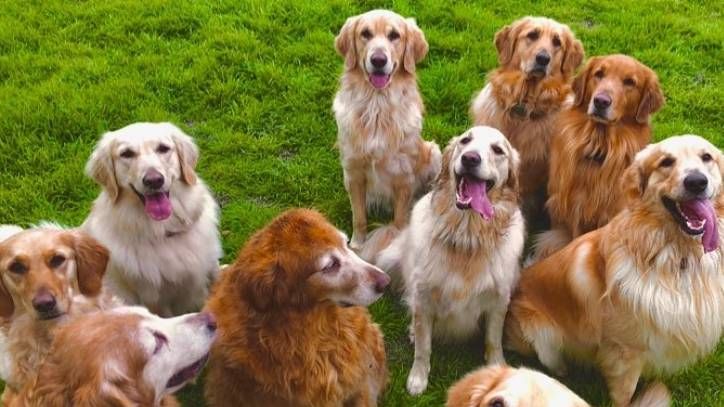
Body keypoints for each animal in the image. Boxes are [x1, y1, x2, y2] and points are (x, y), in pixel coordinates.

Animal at [80, 122, 219, 318]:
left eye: (163, 148)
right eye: (127, 154)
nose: (154, 180)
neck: (164, 232)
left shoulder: (210, 268)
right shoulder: (155, 299)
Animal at [334, 8, 442, 252]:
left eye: (394, 35)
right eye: (365, 34)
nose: (378, 60)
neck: (377, 107)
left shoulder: (404, 177)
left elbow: (400, 219)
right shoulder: (353, 173)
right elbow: (359, 217)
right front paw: (357, 245)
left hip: (433, 152)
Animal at [376, 126, 524, 396]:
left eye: (498, 150)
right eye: (466, 140)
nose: (470, 158)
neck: (466, 237)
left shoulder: (500, 298)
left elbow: (493, 339)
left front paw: (497, 367)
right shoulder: (423, 296)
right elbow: (423, 347)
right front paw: (418, 378)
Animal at [506, 135, 724, 407]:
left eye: (707, 157)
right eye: (666, 162)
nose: (696, 182)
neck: (674, 255)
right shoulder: (625, 351)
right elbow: (624, 393)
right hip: (542, 334)